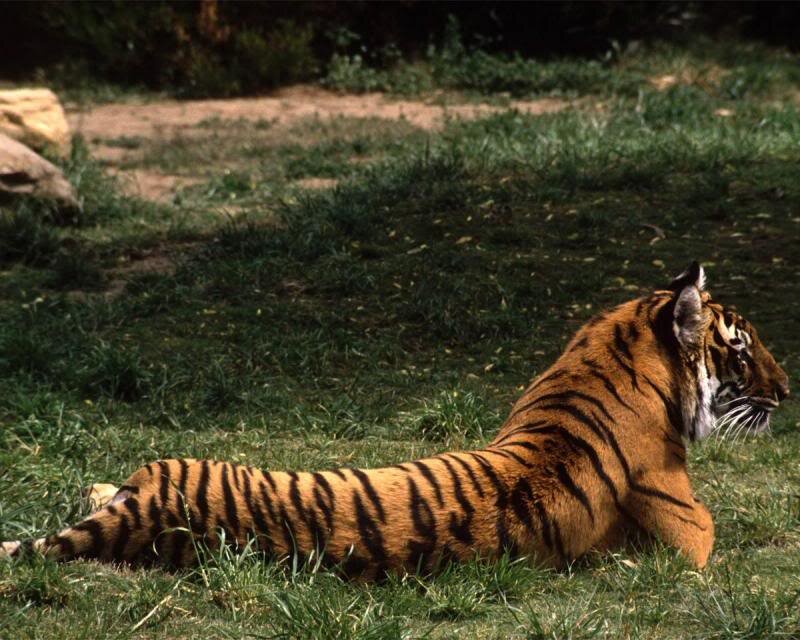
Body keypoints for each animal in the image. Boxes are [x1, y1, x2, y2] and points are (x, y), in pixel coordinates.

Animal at [0, 262, 789, 577]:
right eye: (741, 346)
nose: (787, 391)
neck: (610, 349)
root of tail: (150, 509)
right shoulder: (693, 533)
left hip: (161, 467)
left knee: (99, 490)